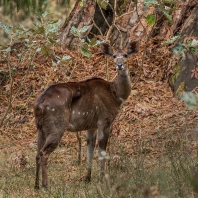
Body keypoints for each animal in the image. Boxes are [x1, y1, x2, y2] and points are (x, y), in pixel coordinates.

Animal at [34, 39, 139, 189]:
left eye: (125, 55)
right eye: (114, 56)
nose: (119, 65)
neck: (115, 94)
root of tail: (39, 105)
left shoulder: (91, 126)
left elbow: (90, 150)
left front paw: (87, 178)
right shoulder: (104, 120)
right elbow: (102, 151)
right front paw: (102, 178)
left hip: (40, 128)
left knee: (37, 153)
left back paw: (36, 185)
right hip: (56, 126)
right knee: (43, 153)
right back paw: (45, 185)